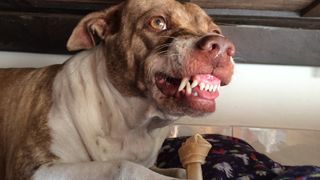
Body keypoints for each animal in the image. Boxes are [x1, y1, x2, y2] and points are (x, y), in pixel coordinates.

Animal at [0, 0, 235, 179]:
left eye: (215, 31)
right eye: (158, 22)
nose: (222, 46)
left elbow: (178, 170)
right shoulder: (36, 169)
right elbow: (124, 166)